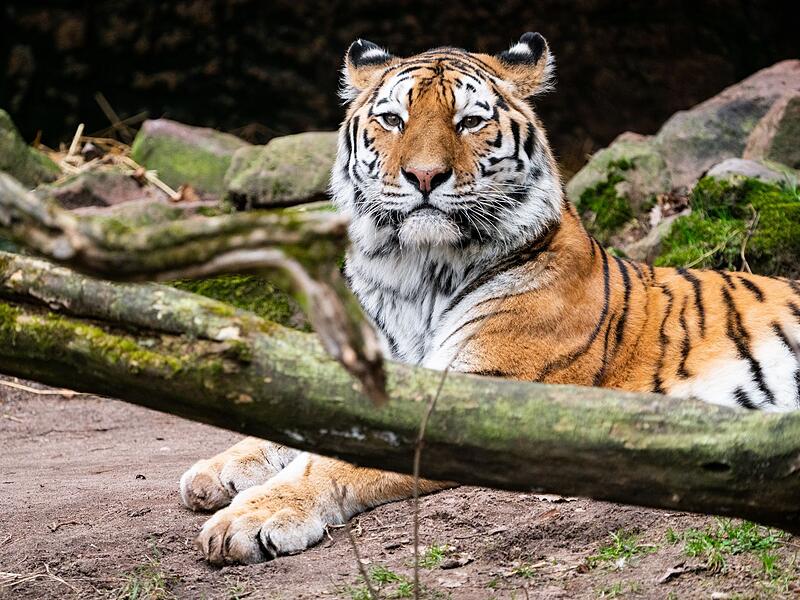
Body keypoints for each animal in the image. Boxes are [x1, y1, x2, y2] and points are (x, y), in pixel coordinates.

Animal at [179, 33, 800, 565]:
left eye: (470, 121)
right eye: (393, 119)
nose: (424, 176)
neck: (416, 274)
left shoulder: (471, 403)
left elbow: (325, 461)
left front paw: (250, 518)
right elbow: (280, 430)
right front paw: (212, 472)